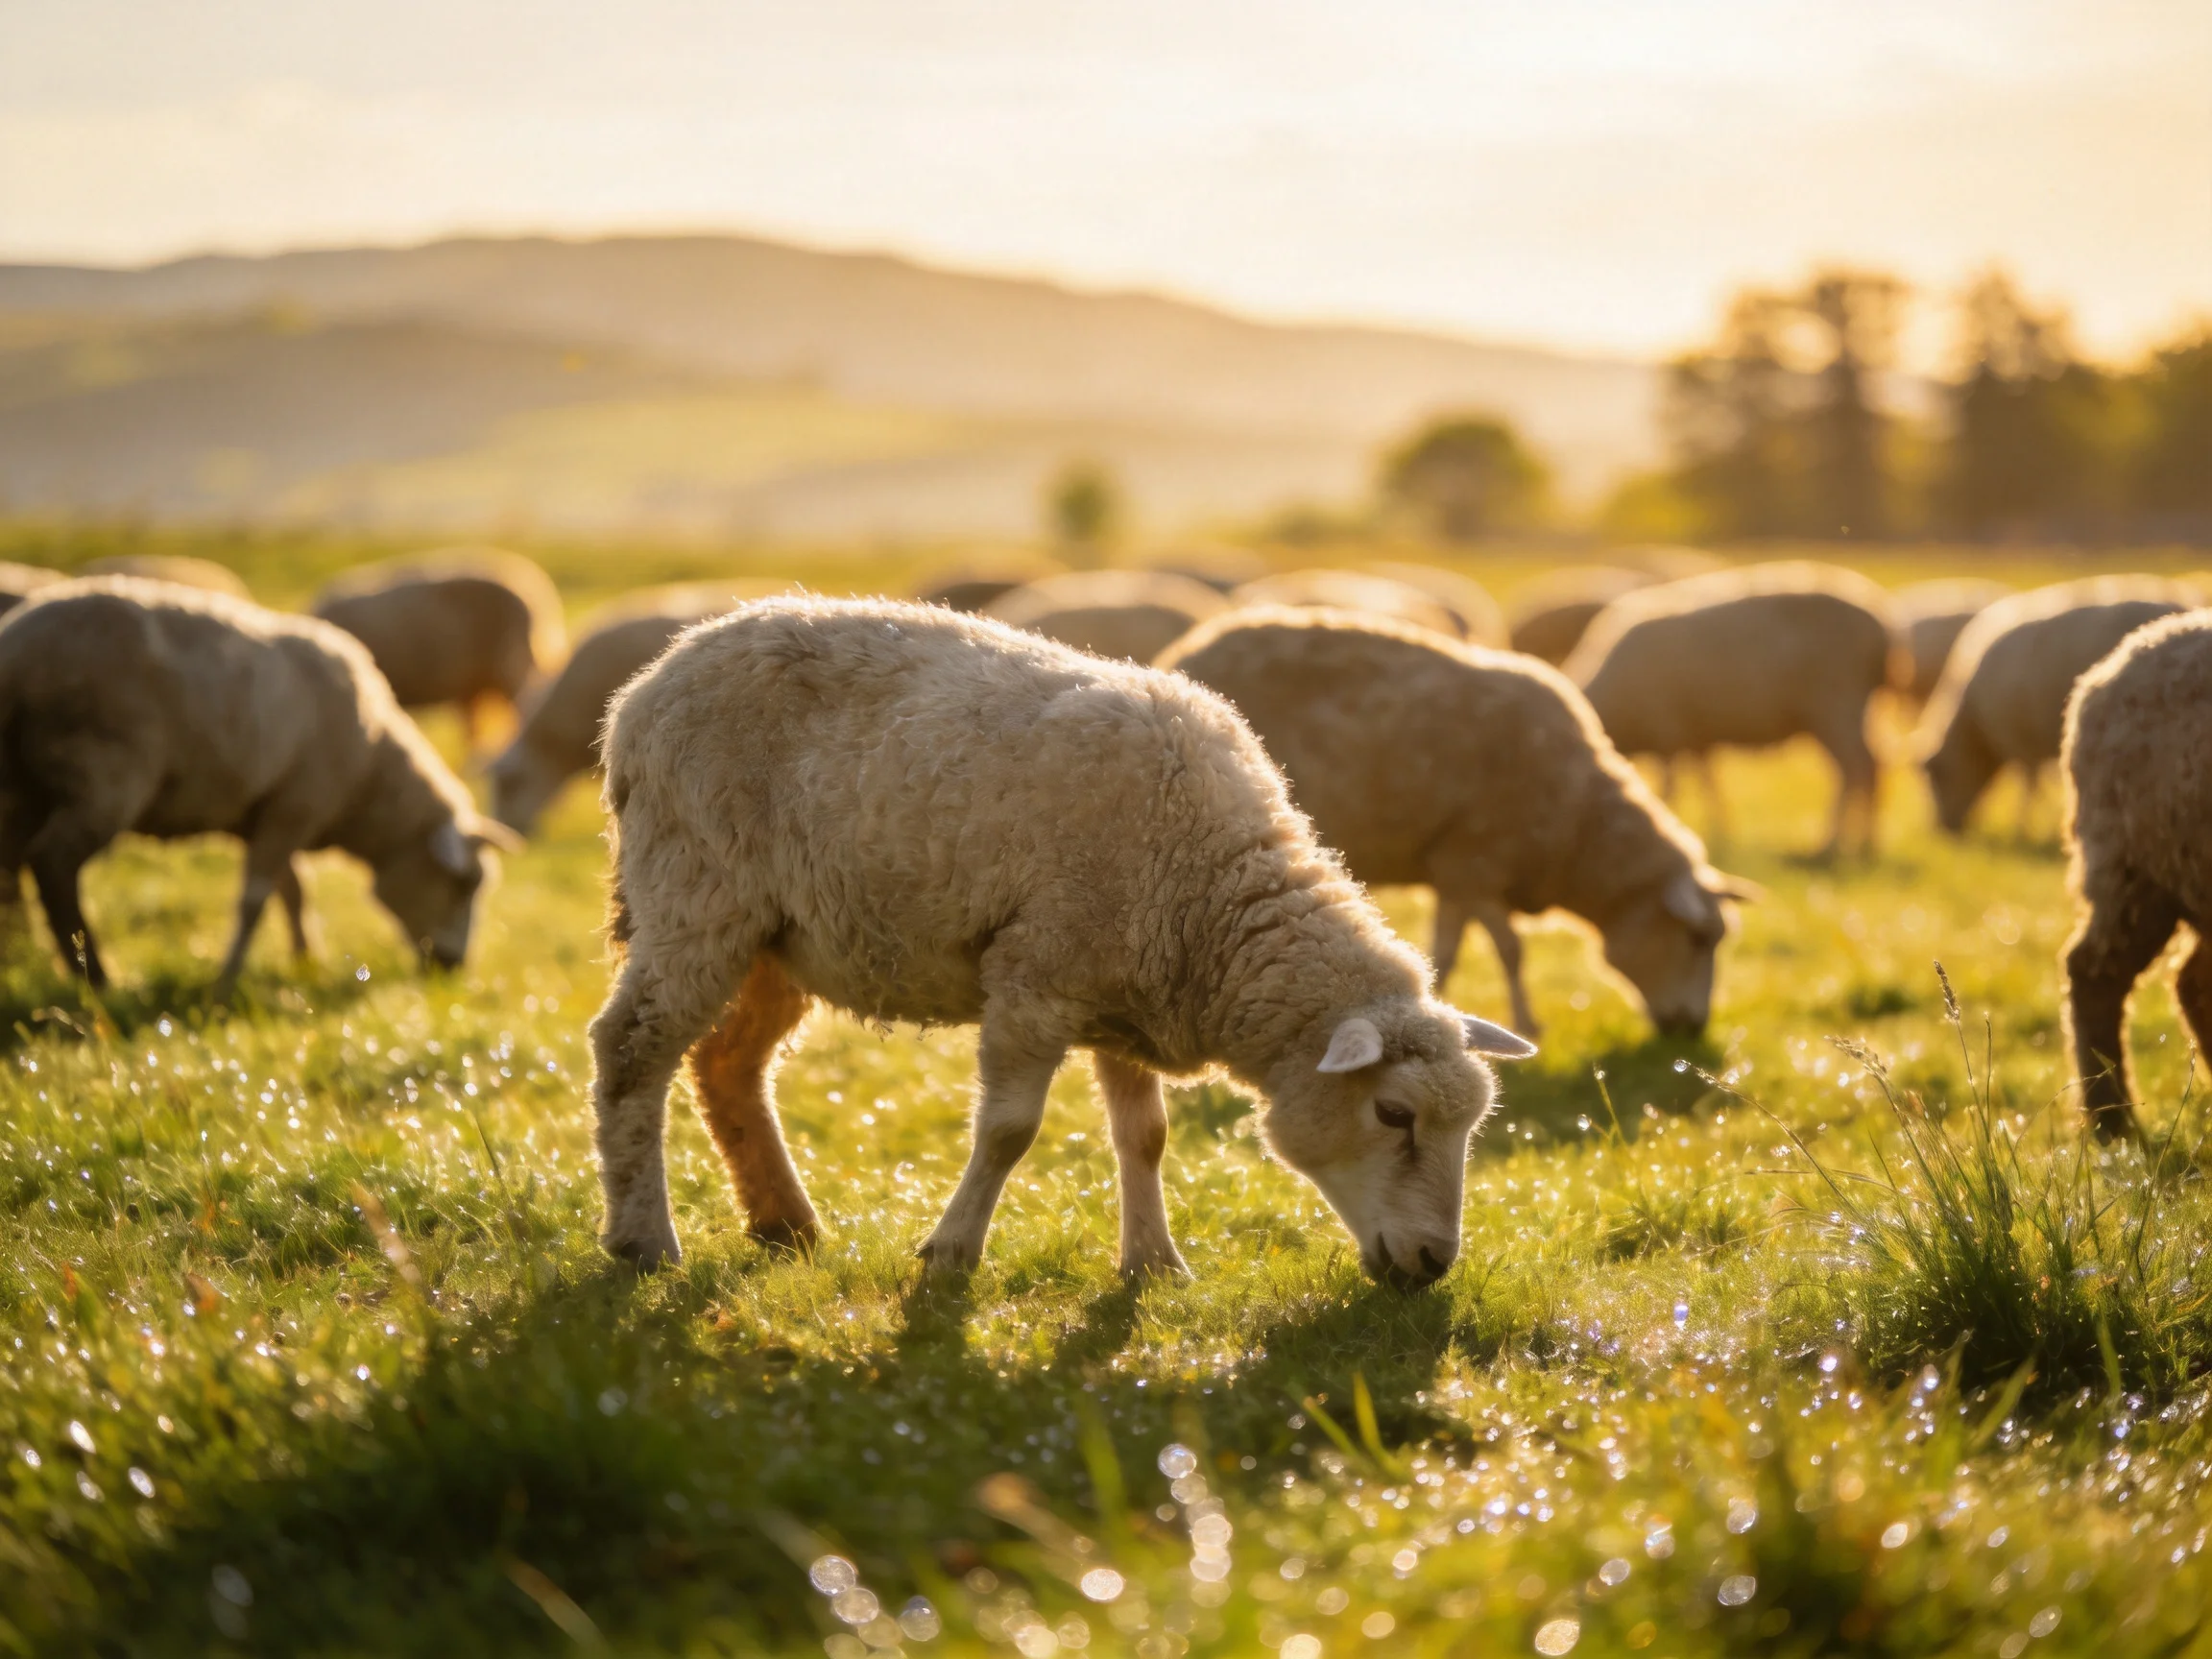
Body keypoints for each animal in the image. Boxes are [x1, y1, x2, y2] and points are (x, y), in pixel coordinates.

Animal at [0, 578, 512, 989]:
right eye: (464, 884)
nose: (453, 969)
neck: (369, 778)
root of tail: (17, 653)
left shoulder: (271, 812)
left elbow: (294, 892)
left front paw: (307, 962)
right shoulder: (297, 805)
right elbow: (255, 901)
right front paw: (226, 981)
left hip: (21, 782)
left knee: (9, 864)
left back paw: (21, 955)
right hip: (105, 772)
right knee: (52, 863)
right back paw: (98, 979)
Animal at [590, 596, 1535, 1281]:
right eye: (1393, 1114)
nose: (1433, 1265)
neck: (1211, 895)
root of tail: (649, 683)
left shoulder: (1128, 990)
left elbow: (1145, 1136)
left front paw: (1153, 1264)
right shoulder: (1035, 979)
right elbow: (1010, 1132)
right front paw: (951, 1254)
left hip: (780, 936)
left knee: (728, 1065)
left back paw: (785, 1224)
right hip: (695, 892)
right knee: (631, 1051)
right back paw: (645, 1242)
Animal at [1159, 609, 1752, 1037]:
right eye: (1699, 938)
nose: (1693, 1031)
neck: (1576, 826)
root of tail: (1177, 655)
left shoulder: (1458, 871)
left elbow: (1453, 948)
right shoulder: (1474, 860)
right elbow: (1507, 950)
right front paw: (1524, 1024)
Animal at [1563, 562, 1899, 858]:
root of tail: (1881, 627)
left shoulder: (1667, 731)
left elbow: (1671, 787)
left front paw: (1670, 819)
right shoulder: (1695, 738)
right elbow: (1709, 785)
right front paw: (1719, 832)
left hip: (1836, 704)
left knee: (1858, 767)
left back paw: (1835, 845)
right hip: (1844, 711)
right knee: (1868, 767)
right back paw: (1865, 845)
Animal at [1918, 577, 2198, 836]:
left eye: (1940, 775)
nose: (1945, 829)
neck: (1974, 725)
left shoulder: (2018, 740)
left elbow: (2029, 786)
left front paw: (2022, 828)